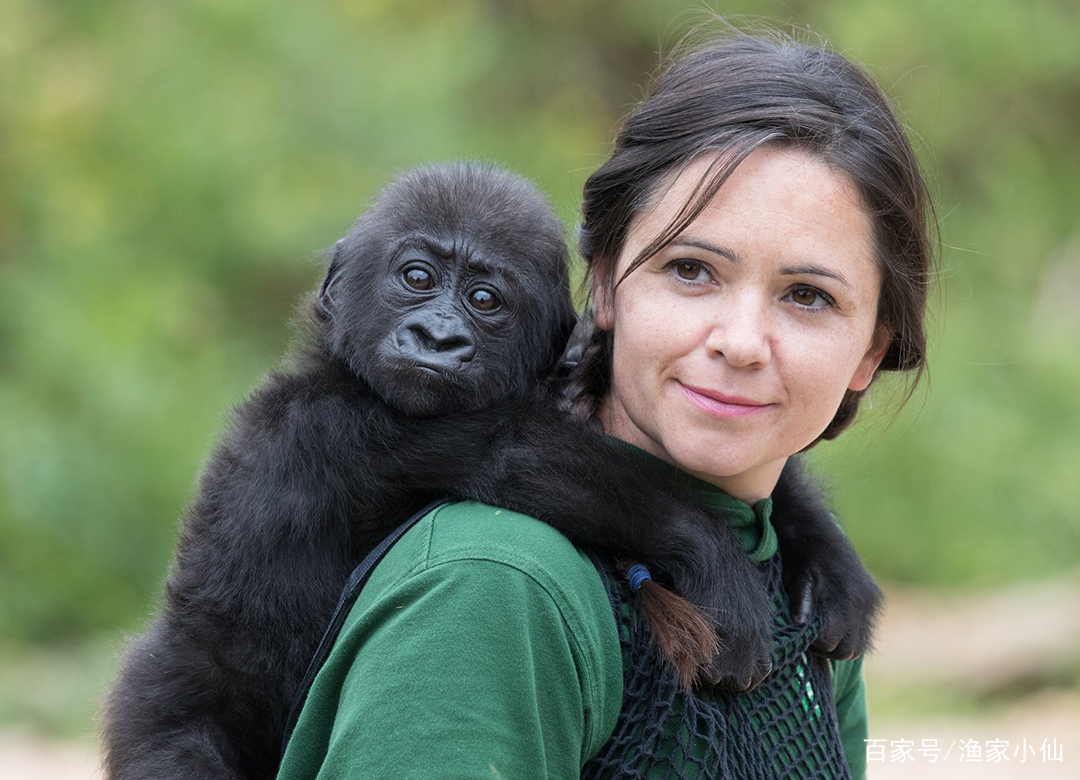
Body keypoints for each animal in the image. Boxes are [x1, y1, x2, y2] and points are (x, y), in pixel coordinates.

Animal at [101, 160, 881, 773]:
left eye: (484, 300)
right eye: (416, 278)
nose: (436, 336)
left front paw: (828, 558)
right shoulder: (348, 425)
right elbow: (519, 455)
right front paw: (711, 557)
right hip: (171, 713)